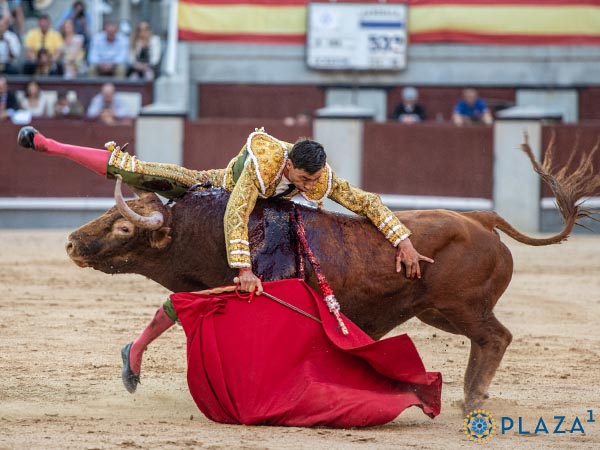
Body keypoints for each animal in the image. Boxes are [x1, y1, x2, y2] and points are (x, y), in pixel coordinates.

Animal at [63, 140, 596, 412]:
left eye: (125, 226)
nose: (70, 243)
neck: (204, 229)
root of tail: (482, 219)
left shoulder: (226, 287)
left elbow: (172, 307)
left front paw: (132, 367)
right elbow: (174, 308)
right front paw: (131, 367)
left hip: (461, 307)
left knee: (496, 337)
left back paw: (473, 398)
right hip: (438, 313)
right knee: (487, 340)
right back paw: (467, 394)